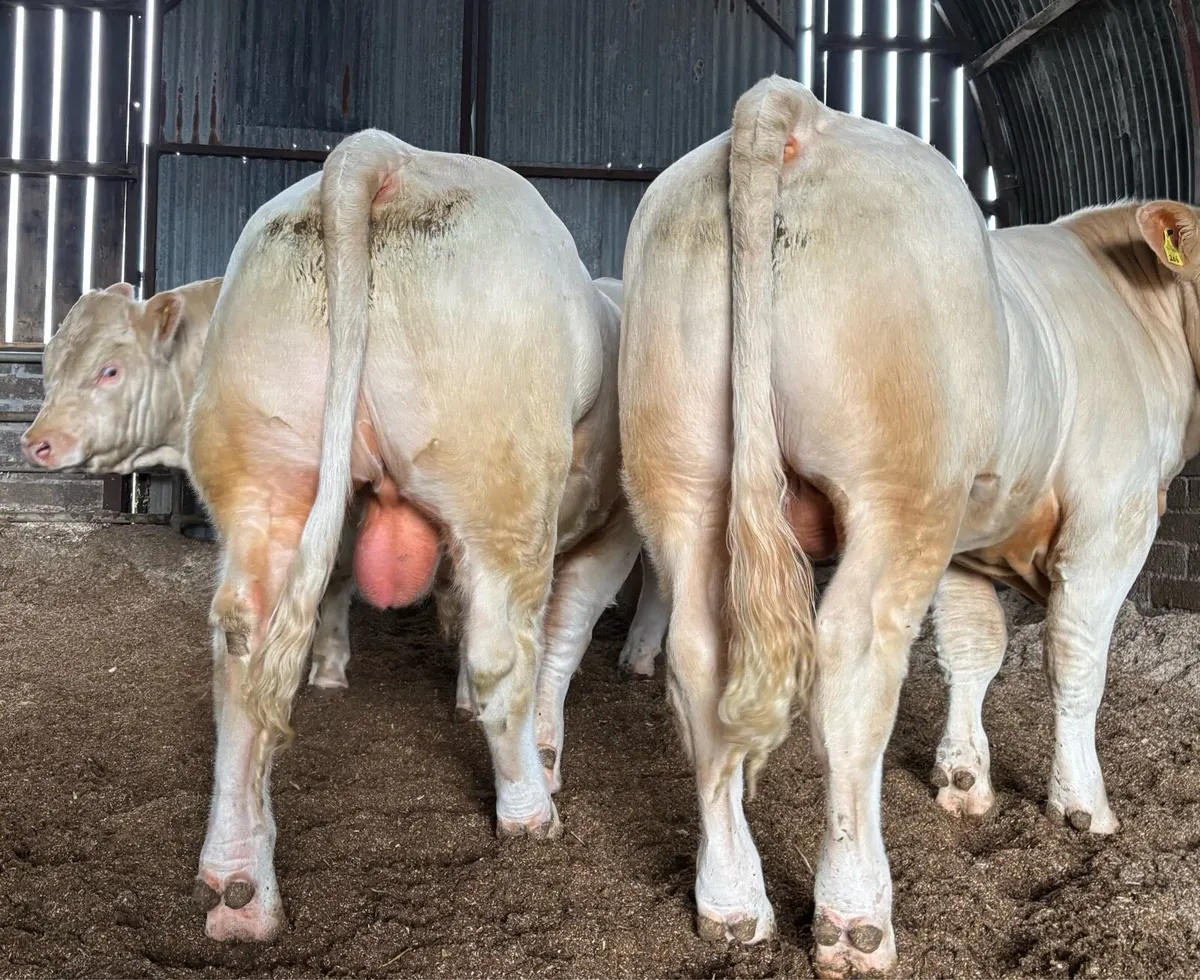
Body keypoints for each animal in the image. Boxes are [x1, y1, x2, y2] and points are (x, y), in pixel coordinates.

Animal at [620, 73, 1198, 978]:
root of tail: (799, 111)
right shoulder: (1115, 516)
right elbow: (1076, 661)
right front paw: (1082, 807)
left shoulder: (970, 537)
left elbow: (972, 651)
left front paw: (963, 782)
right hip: (898, 495)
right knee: (852, 669)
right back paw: (855, 916)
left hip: (679, 476)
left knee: (699, 661)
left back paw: (732, 904)